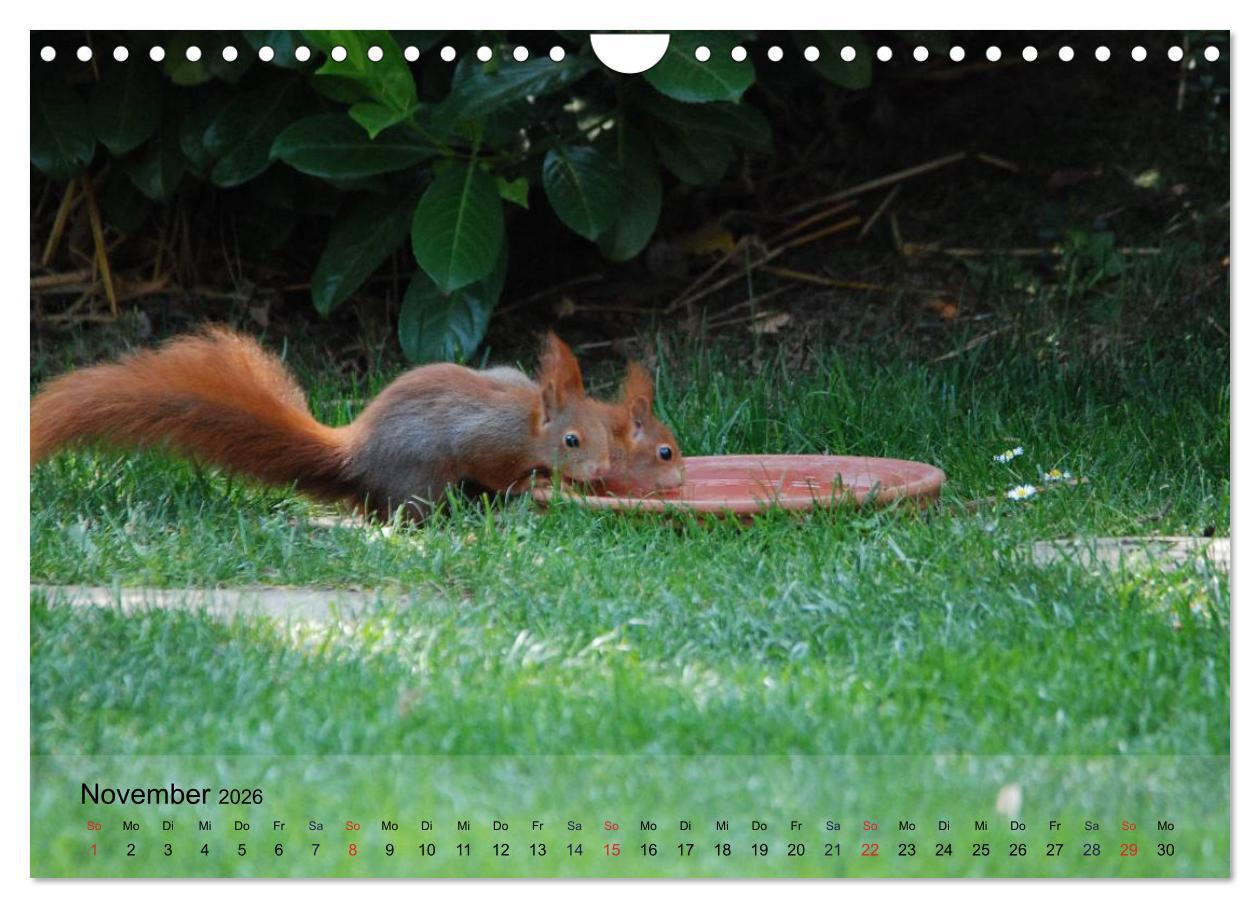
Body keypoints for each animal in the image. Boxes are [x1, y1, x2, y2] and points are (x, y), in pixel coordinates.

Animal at [30, 326, 683, 521]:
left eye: (599, 438)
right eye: (571, 439)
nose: (595, 470)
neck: (526, 424)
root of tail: (353, 455)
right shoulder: (485, 441)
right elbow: (501, 474)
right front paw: (536, 483)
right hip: (420, 480)